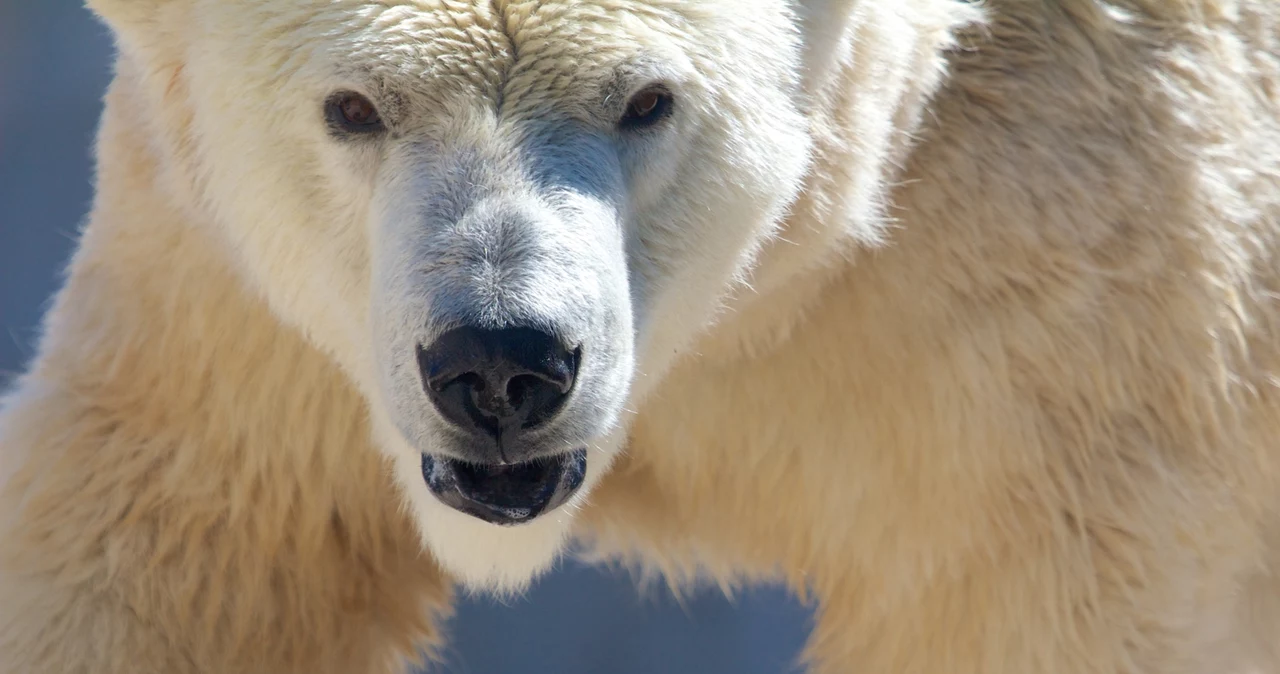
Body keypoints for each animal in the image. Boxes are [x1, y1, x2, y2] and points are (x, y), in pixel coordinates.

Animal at [2, 0, 1280, 670]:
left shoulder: (1056, 315)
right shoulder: (237, 308)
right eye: (353, 107)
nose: (501, 365)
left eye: (648, 99)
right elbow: (180, 542)